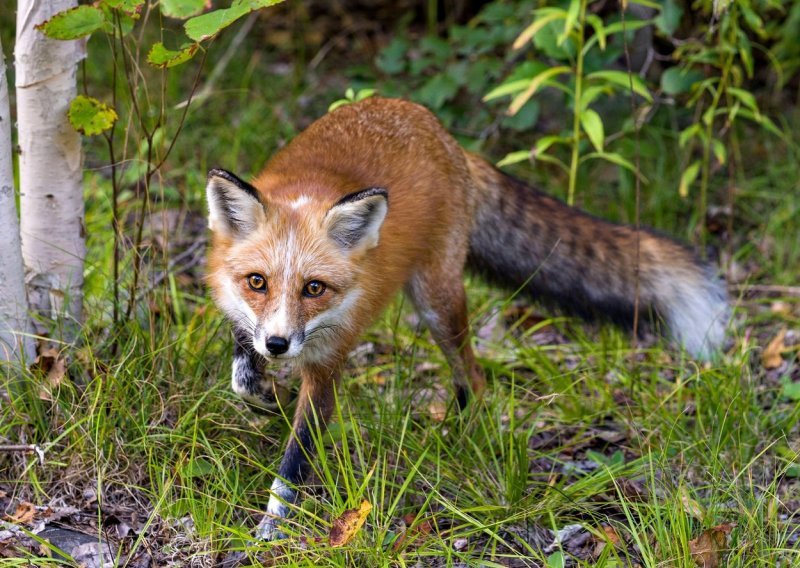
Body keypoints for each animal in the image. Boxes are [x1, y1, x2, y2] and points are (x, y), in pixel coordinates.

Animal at [205, 95, 724, 540]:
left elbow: (295, 460)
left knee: (473, 376)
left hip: (439, 304)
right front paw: (268, 397)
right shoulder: (246, 320)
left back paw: (463, 437)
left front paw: (273, 528)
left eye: (314, 288)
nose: (278, 346)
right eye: (257, 283)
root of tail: (438, 129)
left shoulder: (327, 364)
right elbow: (241, 378)